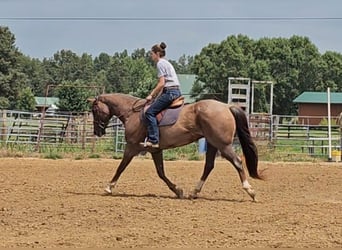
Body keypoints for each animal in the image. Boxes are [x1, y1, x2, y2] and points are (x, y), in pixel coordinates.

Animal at [89, 93, 264, 200]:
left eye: (95, 110)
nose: (97, 131)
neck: (132, 113)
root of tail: (227, 107)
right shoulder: (155, 149)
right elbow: (161, 172)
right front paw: (177, 190)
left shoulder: (131, 147)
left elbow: (121, 167)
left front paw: (109, 187)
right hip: (213, 143)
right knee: (209, 166)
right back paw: (194, 192)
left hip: (223, 145)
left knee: (237, 162)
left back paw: (250, 190)